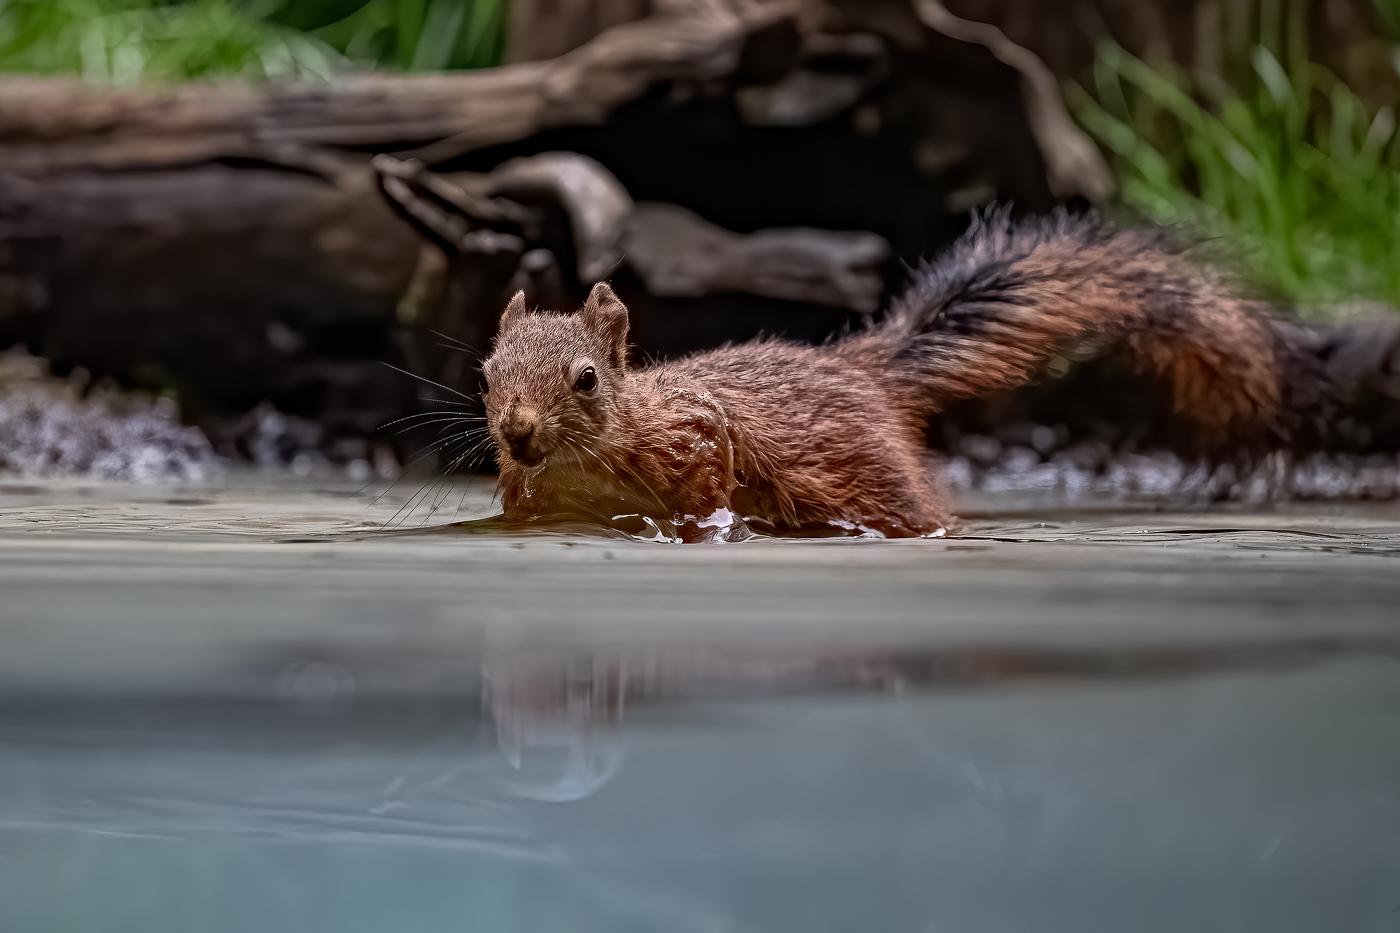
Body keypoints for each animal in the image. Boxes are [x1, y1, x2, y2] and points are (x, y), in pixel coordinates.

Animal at [481, 205, 1355, 535]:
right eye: (487, 374)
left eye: (587, 378)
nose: (517, 431)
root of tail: (861, 369)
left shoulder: (695, 434)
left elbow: (708, 486)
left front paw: (704, 524)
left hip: (876, 479)